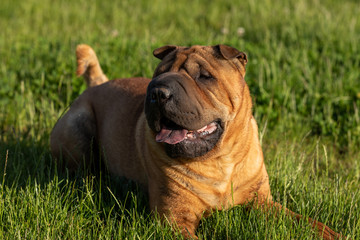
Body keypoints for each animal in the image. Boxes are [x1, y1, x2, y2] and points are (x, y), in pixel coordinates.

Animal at [50, 43, 340, 238]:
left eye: (204, 76)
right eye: (158, 74)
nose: (158, 91)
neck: (219, 160)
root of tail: (97, 84)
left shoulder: (262, 202)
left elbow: (305, 221)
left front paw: (332, 233)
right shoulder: (174, 218)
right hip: (78, 127)